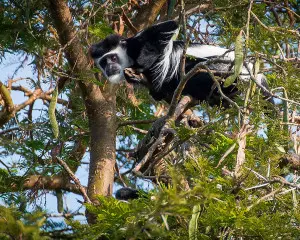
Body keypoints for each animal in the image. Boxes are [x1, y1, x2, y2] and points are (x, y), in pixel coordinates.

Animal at [89, 20, 270, 106]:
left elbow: (167, 28)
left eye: (113, 58)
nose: (109, 67)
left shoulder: (137, 43)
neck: (128, 56)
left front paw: (145, 63)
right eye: (103, 62)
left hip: (222, 70)